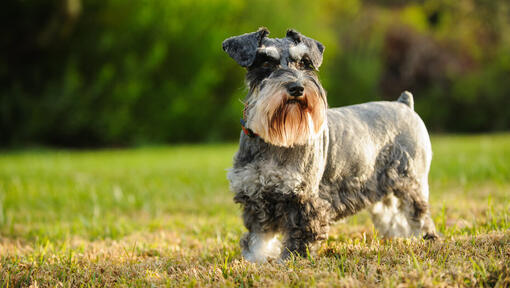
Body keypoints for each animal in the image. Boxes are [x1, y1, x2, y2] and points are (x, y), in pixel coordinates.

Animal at [223, 27, 438, 264]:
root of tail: (404, 104)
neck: (273, 140)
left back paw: (426, 239)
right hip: (383, 189)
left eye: (305, 62)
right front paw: (254, 261)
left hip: (411, 182)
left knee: (419, 215)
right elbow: (258, 238)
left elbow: (299, 237)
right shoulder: (255, 197)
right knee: (394, 217)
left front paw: (289, 262)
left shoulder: (304, 199)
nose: (297, 87)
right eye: (266, 62)